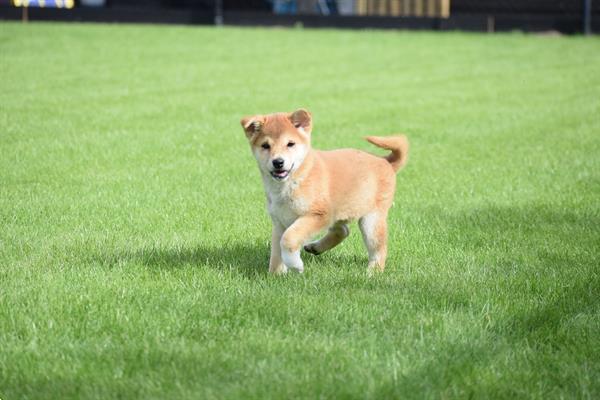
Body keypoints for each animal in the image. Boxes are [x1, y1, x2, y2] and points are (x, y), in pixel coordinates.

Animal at [239, 109, 408, 276]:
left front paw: (295, 265)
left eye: (290, 144)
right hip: (341, 211)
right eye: (265, 145)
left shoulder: (318, 214)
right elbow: (276, 251)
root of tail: (386, 162)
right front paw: (276, 274)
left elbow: (288, 239)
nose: (278, 162)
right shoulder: (279, 221)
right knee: (343, 230)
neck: (296, 179)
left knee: (379, 248)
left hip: (371, 219)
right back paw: (315, 247)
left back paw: (373, 271)